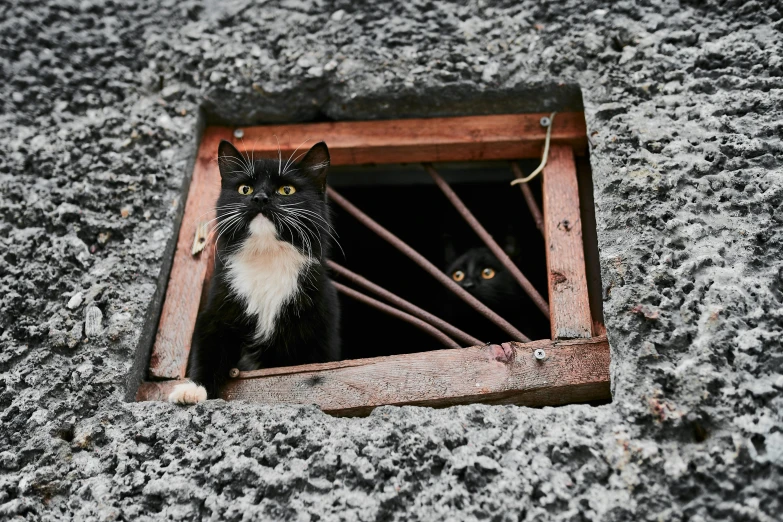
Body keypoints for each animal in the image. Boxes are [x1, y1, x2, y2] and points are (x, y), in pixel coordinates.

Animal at [170, 139, 342, 402]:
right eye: (245, 189)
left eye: (286, 190)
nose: (260, 198)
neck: (266, 256)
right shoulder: (216, 310)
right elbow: (208, 350)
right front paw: (194, 388)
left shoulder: (321, 321)